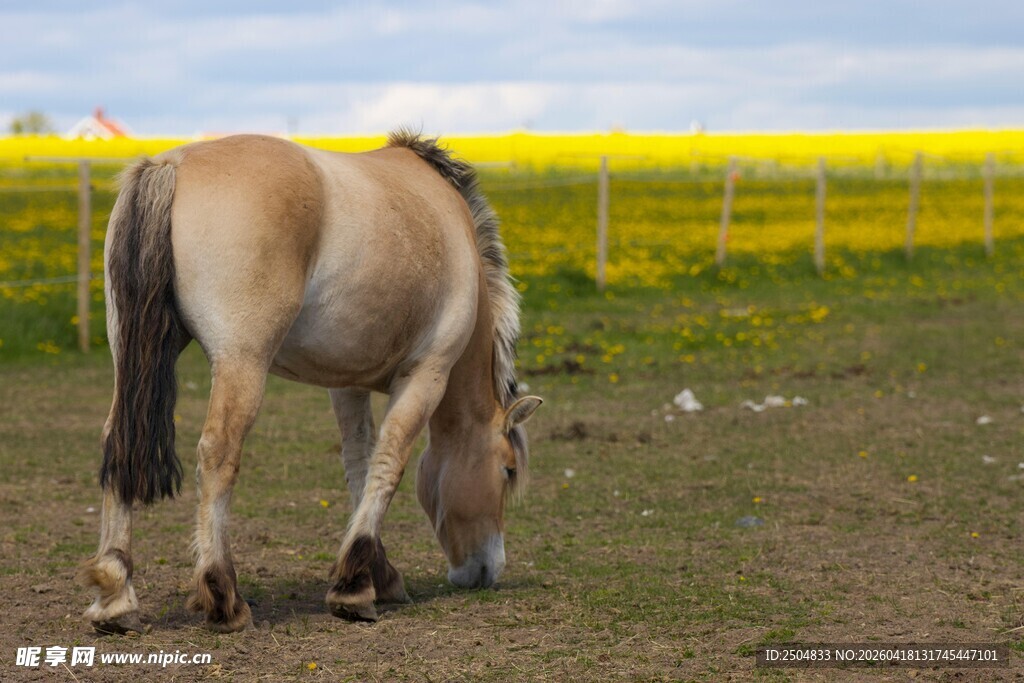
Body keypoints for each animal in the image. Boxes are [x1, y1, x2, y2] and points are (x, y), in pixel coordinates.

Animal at [77, 131, 542, 633]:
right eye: (507, 469)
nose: (487, 570)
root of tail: (172, 164)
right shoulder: (426, 376)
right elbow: (389, 464)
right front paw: (354, 587)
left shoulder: (347, 383)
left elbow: (359, 464)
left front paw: (377, 574)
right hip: (242, 363)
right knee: (219, 453)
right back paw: (223, 596)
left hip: (131, 361)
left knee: (118, 443)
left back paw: (116, 595)